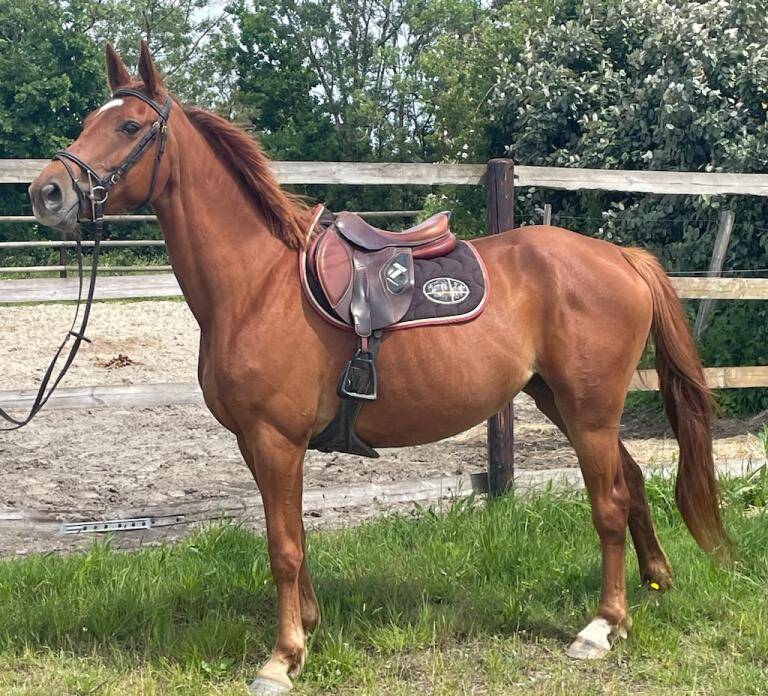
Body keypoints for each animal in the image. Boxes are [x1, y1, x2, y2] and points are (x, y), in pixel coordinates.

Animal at [28, 42, 729, 694]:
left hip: (589, 411)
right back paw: (653, 585)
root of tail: (620, 257)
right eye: (90, 120)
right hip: (564, 403)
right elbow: (293, 536)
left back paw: (601, 626)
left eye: (127, 127)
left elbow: (282, 547)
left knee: (609, 503)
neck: (257, 284)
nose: (47, 192)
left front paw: (282, 658)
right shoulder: (260, 445)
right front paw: (307, 629)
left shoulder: (275, 440)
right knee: (631, 481)